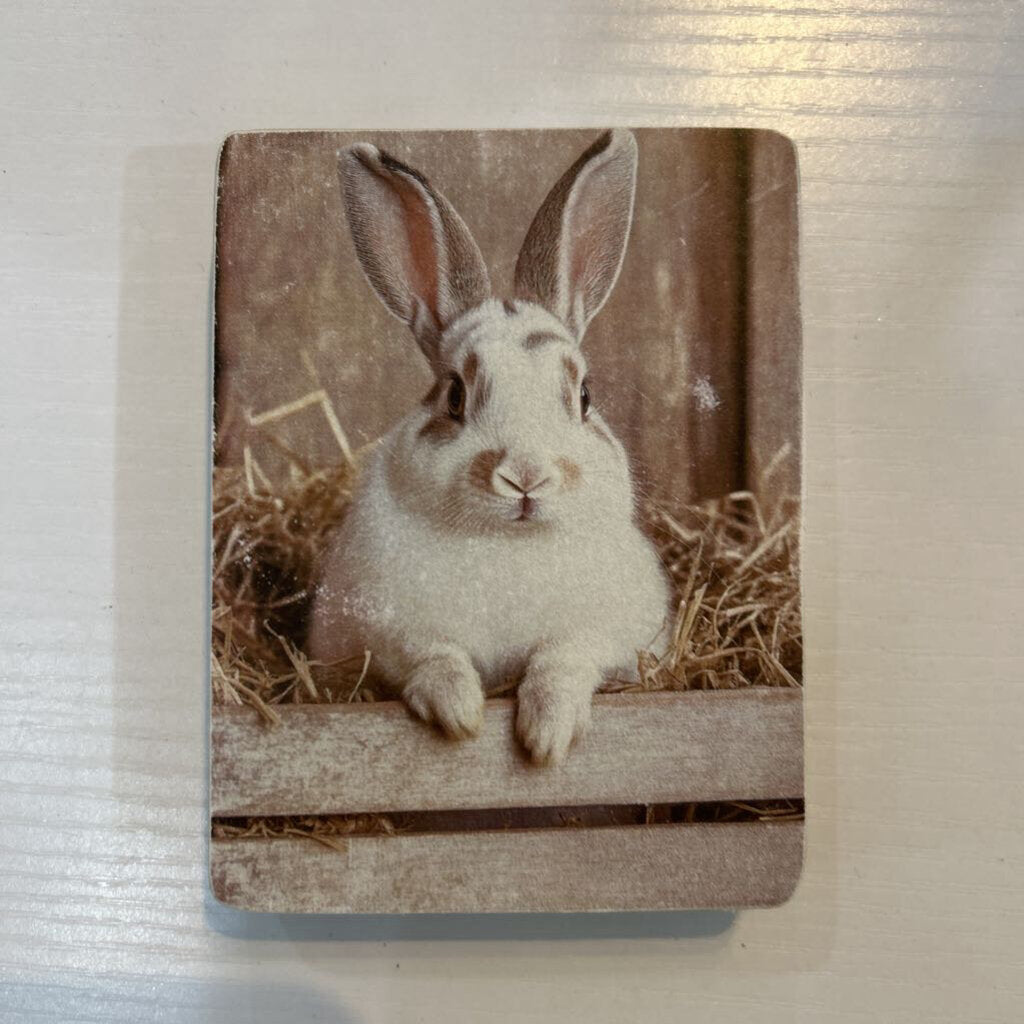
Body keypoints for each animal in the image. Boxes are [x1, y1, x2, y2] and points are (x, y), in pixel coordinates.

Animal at [307, 129, 671, 764]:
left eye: (584, 395)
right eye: (456, 395)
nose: (526, 476)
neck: (507, 544)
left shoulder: (610, 631)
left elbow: (564, 660)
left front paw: (547, 737)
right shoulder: (387, 628)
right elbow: (433, 657)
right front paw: (460, 715)